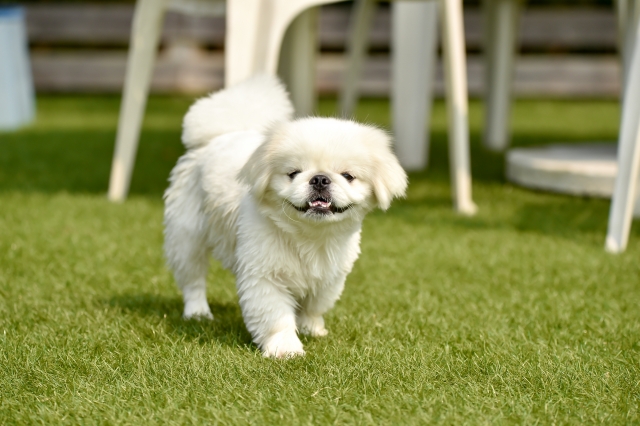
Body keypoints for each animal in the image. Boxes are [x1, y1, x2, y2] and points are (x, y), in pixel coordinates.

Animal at [162, 75, 408, 358]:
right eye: (293, 173)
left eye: (348, 176)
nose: (320, 178)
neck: (310, 237)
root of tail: (220, 136)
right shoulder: (265, 277)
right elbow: (276, 317)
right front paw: (285, 349)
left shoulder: (329, 277)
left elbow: (313, 308)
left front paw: (312, 329)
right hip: (187, 236)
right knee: (193, 280)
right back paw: (198, 313)